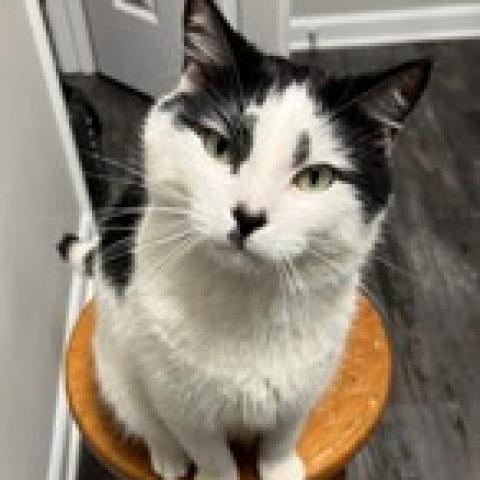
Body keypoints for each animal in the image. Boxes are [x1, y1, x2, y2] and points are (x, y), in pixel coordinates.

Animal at [60, 0, 431, 478]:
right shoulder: (181, 406)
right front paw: (208, 467)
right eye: (218, 146)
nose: (248, 216)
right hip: (116, 361)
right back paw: (167, 458)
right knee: (142, 418)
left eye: (316, 177)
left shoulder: (301, 391)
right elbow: (210, 454)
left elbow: (282, 436)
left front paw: (280, 468)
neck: (246, 303)